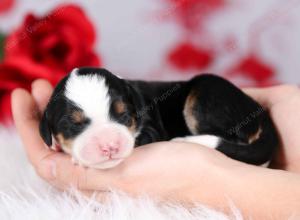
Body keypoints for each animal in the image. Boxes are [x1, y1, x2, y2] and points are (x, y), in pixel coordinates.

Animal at [39, 67, 278, 168]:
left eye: (124, 116)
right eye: (74, 125)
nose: (109, 147)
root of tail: (260, 112)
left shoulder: (152, 130)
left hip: (206, 93)